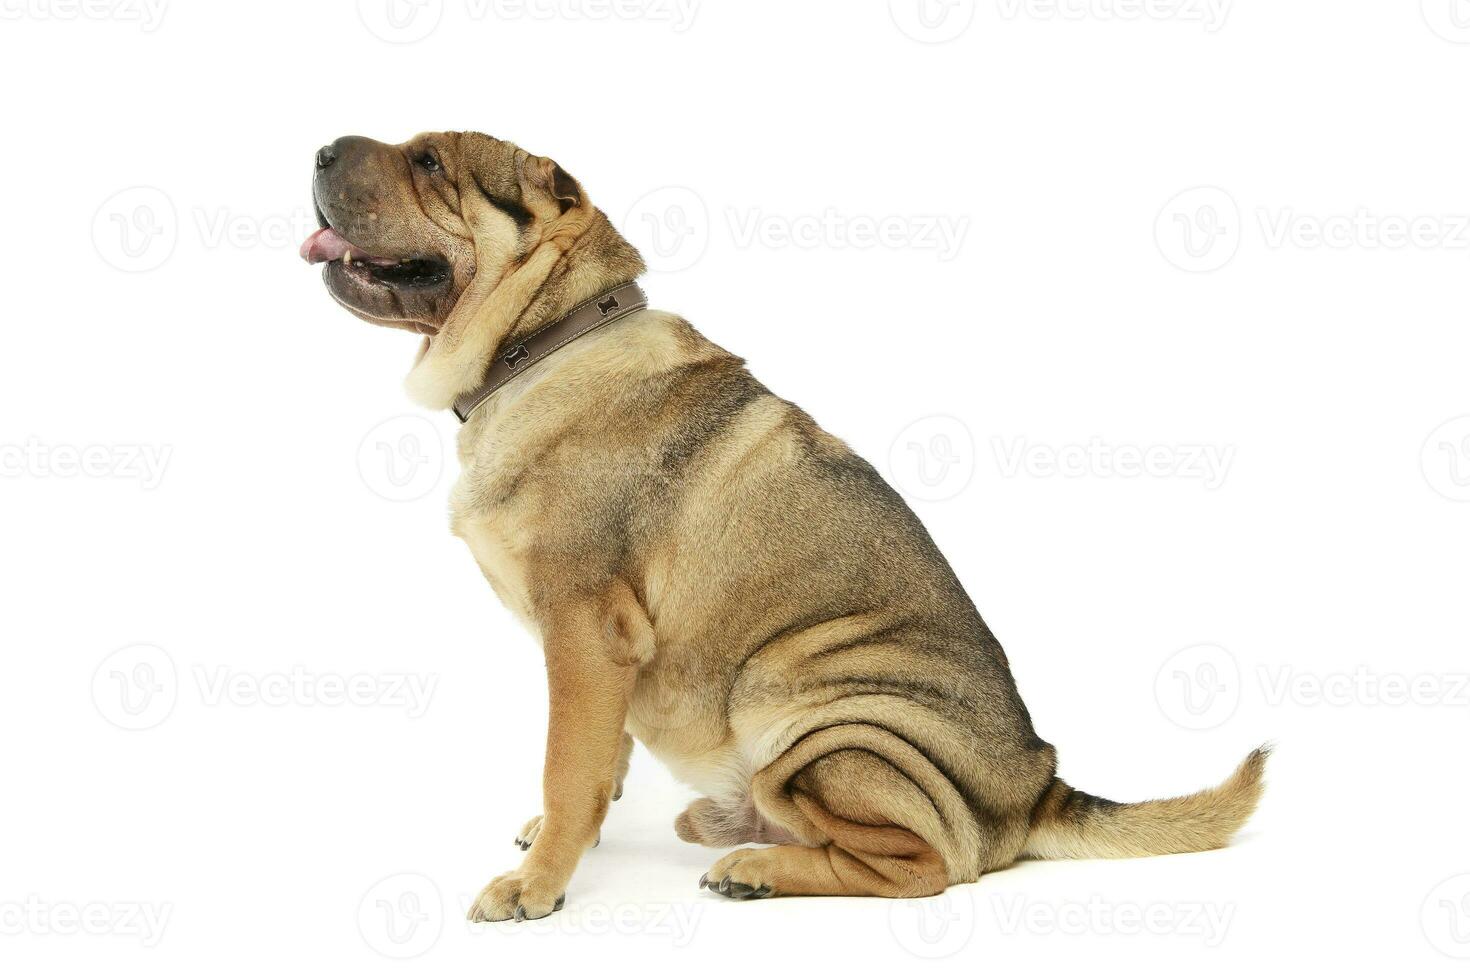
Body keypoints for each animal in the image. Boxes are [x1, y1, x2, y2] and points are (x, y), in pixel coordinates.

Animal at [295, 132, 1264, 928]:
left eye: (429, 161)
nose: (321, 149)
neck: (543, 343)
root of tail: (1038, 790)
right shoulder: (598, 656)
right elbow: (601, 756)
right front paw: (569, 836)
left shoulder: (584, 628)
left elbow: (567, 764)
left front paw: (537, 884)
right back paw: (729, 833)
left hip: (814, 715)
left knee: (922, 868)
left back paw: (756, 867)